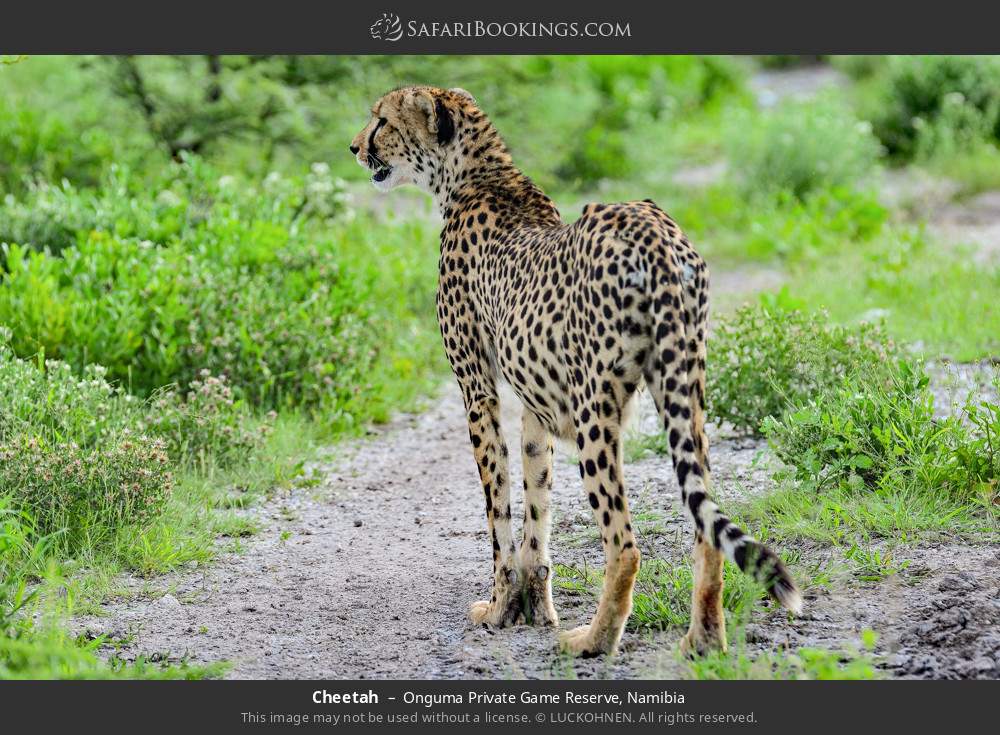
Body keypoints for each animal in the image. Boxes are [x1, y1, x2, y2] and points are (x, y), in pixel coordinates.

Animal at [352, 85, 804, 656]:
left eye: (381, 121)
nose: (353, 147)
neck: (476, 176)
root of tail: (652, 228)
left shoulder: (478, 390)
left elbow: (498, 509)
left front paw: (499, 608)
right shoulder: (536, 404)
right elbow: (535, 501)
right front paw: (533, 607)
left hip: (597, 408)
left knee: (625, 542)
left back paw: (593, 639)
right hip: (685, 388)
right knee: (704, 522)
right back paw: (702, 641)